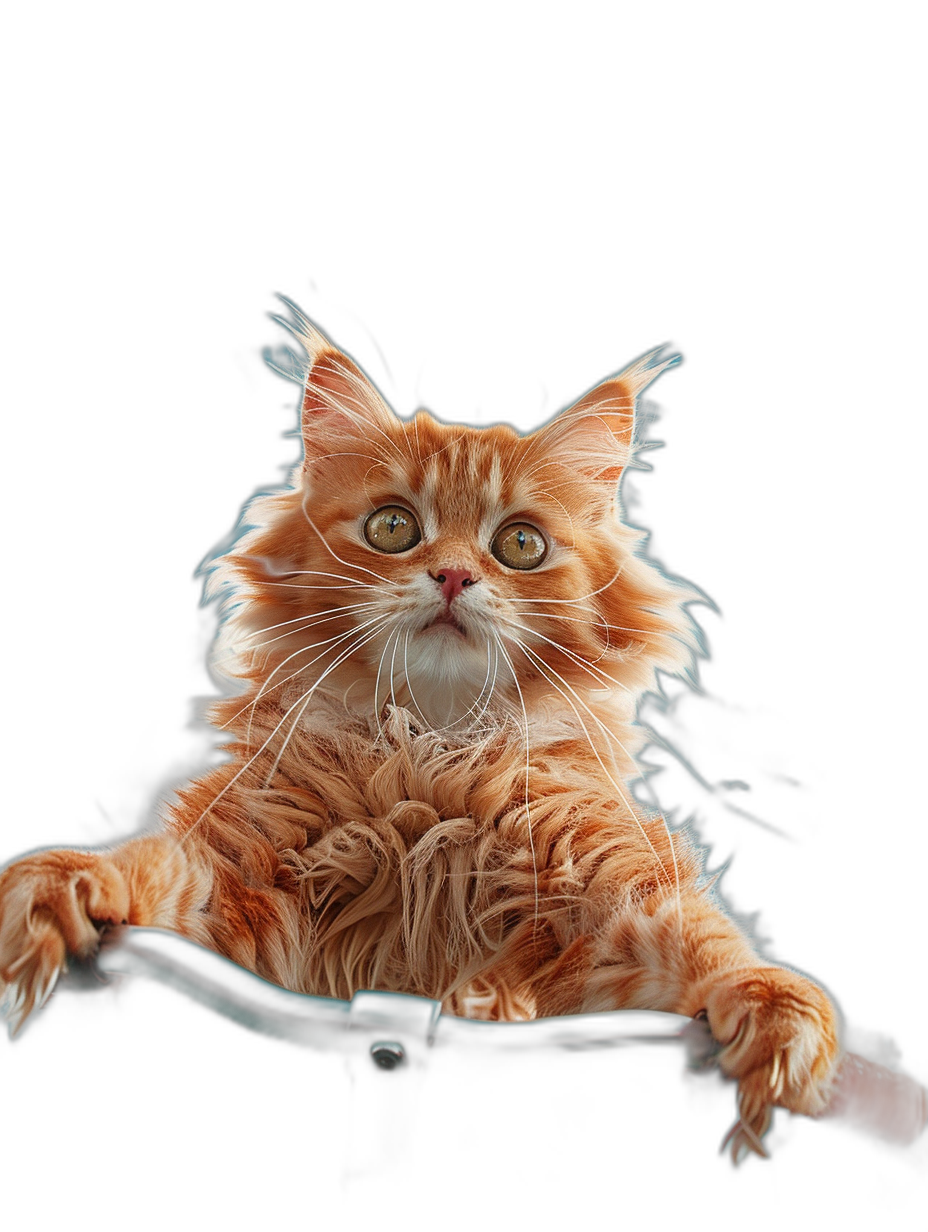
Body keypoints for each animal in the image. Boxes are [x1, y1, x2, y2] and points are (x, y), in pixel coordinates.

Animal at [0, 305, 842, 1163]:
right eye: (393, 527)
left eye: (520, 544)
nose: (453, 576)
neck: (432, 753)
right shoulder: (236, 879)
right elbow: (147, 872)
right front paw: (58, 893)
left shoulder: (609, 897)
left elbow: (710, 949)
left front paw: (778, 1023)